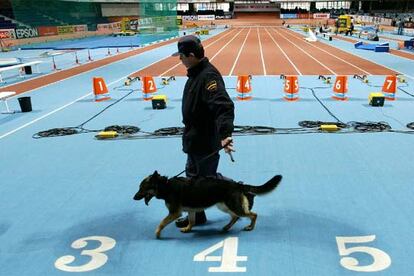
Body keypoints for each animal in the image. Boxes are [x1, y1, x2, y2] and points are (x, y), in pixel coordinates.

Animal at [134, 170, 284, 237]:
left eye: (142, 188)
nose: (133, 197)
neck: (165, 186)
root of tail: (237, 185)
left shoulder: (175, 213)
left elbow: (162, 222)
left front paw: (158, 233)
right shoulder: (191, 210)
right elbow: (192, 221)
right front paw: (188, 229)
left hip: (232, 207)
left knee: (253, 215)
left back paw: (250, 227)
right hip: (224, 206)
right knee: (235, 217)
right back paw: (226, 227)